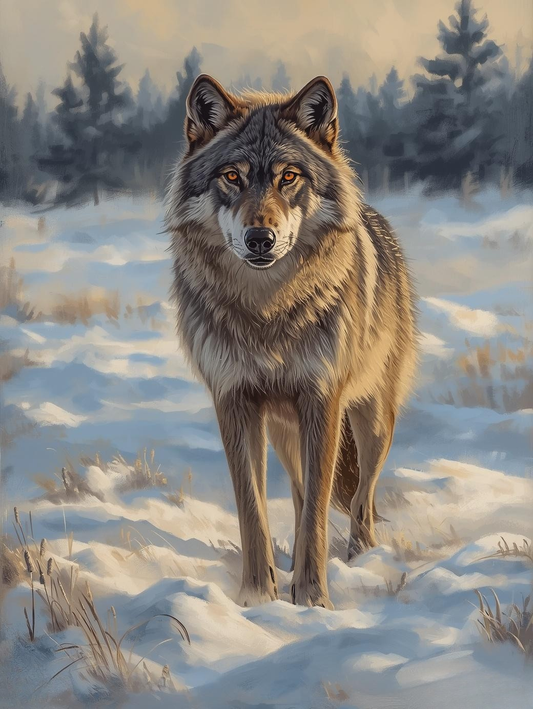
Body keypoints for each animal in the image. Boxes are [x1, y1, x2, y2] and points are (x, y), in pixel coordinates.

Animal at [166, 74, 417, 609]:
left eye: (288, 177)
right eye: (232, 177)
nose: (260, 238)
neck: (267, 312)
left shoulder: (322, 399)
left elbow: (321, 512)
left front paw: (314, 600)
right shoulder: (234, 400)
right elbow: (253, 510)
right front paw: (257, 597)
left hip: (372, 421)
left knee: (360, 495)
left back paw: (362, 556)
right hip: (285, 432)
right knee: (304, 497)